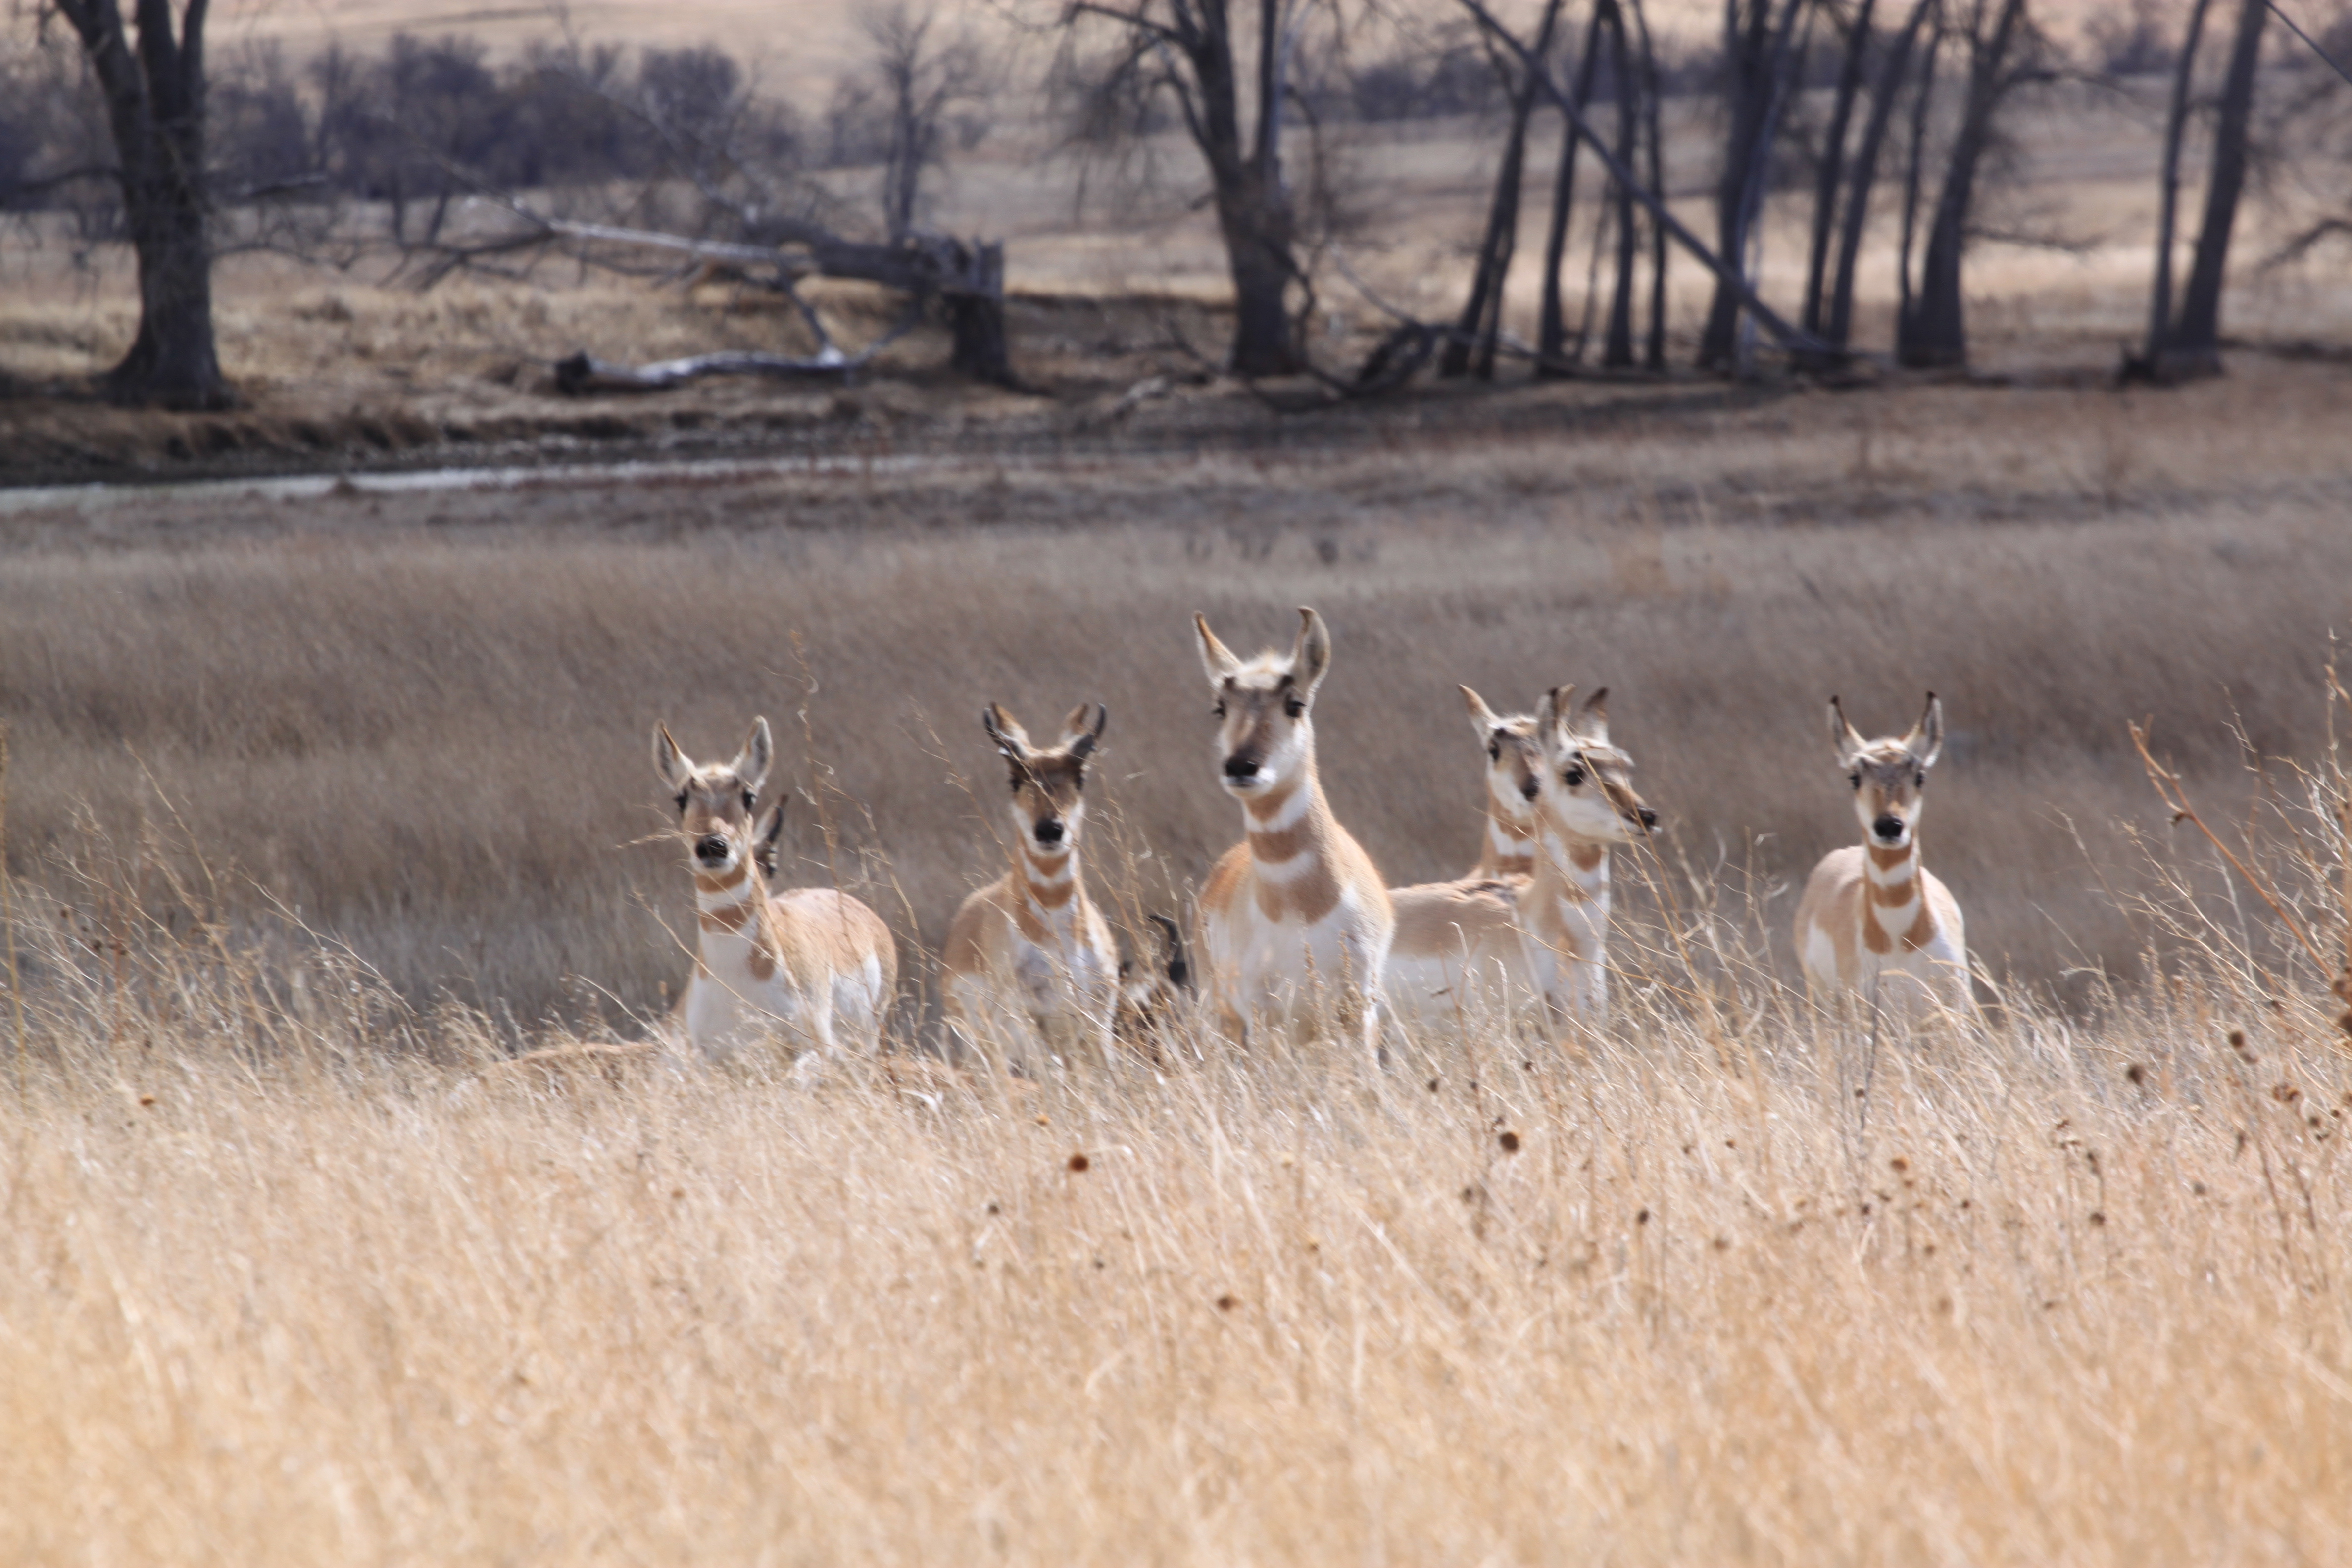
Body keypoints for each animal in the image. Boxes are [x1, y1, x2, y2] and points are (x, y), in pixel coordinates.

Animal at [940, 703, 1121, 1067]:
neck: (1059, 939)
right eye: (1015, 779)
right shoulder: (1028, 1019)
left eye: (1081, 777)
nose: (1050, 830)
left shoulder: (1099, 1020)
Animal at [1194, 607, 1394, 1053]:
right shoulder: (1265, 1016)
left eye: (1295, 703)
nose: (1241, 766)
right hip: (1224, 1017)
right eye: (1220, 707)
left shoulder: (1357, 1009)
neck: (1299, 912)